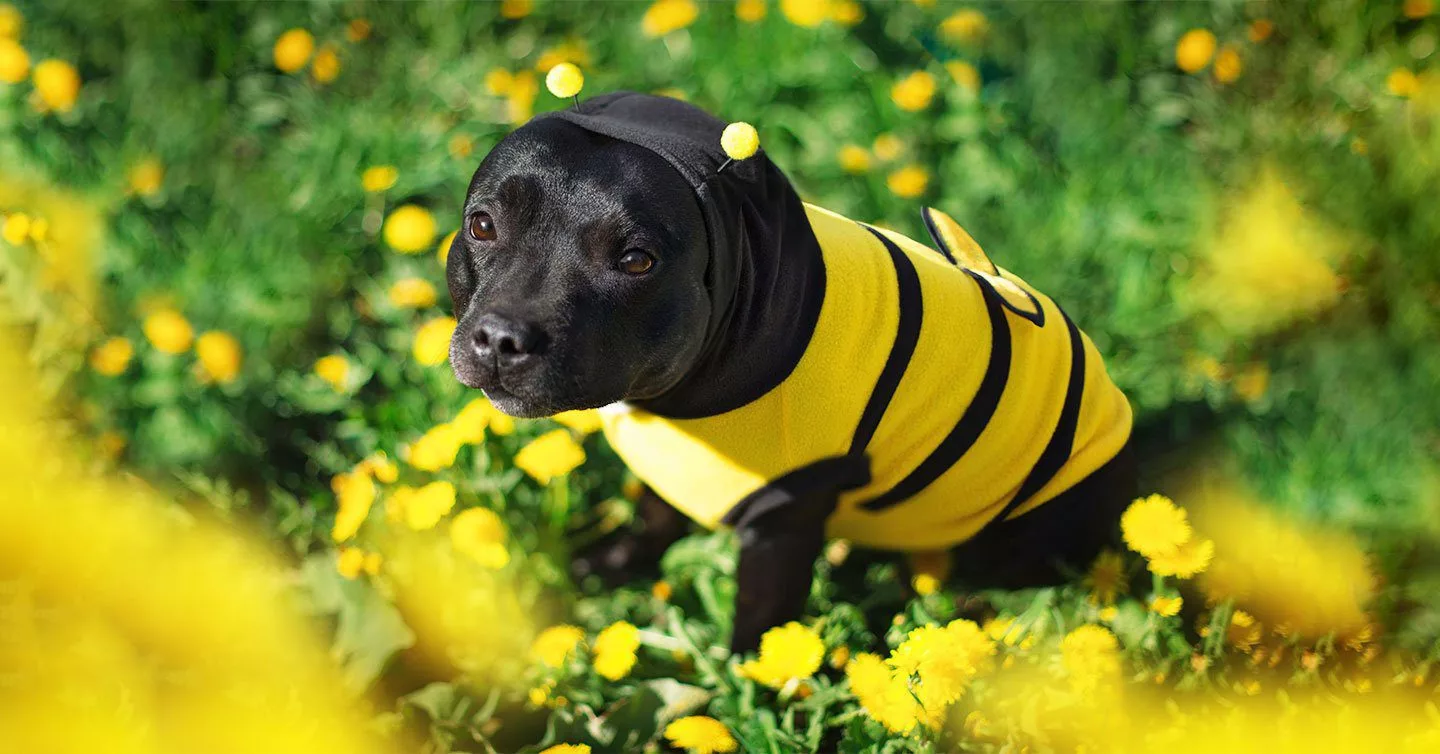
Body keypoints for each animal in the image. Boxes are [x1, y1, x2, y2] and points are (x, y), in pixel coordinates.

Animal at [449, 94, 1134, 650]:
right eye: (481, 224)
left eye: (636, 260)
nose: (503, 337)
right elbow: (654, 514)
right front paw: (619, 558)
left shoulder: (781, 527)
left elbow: (759, 622)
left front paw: (747, 690)